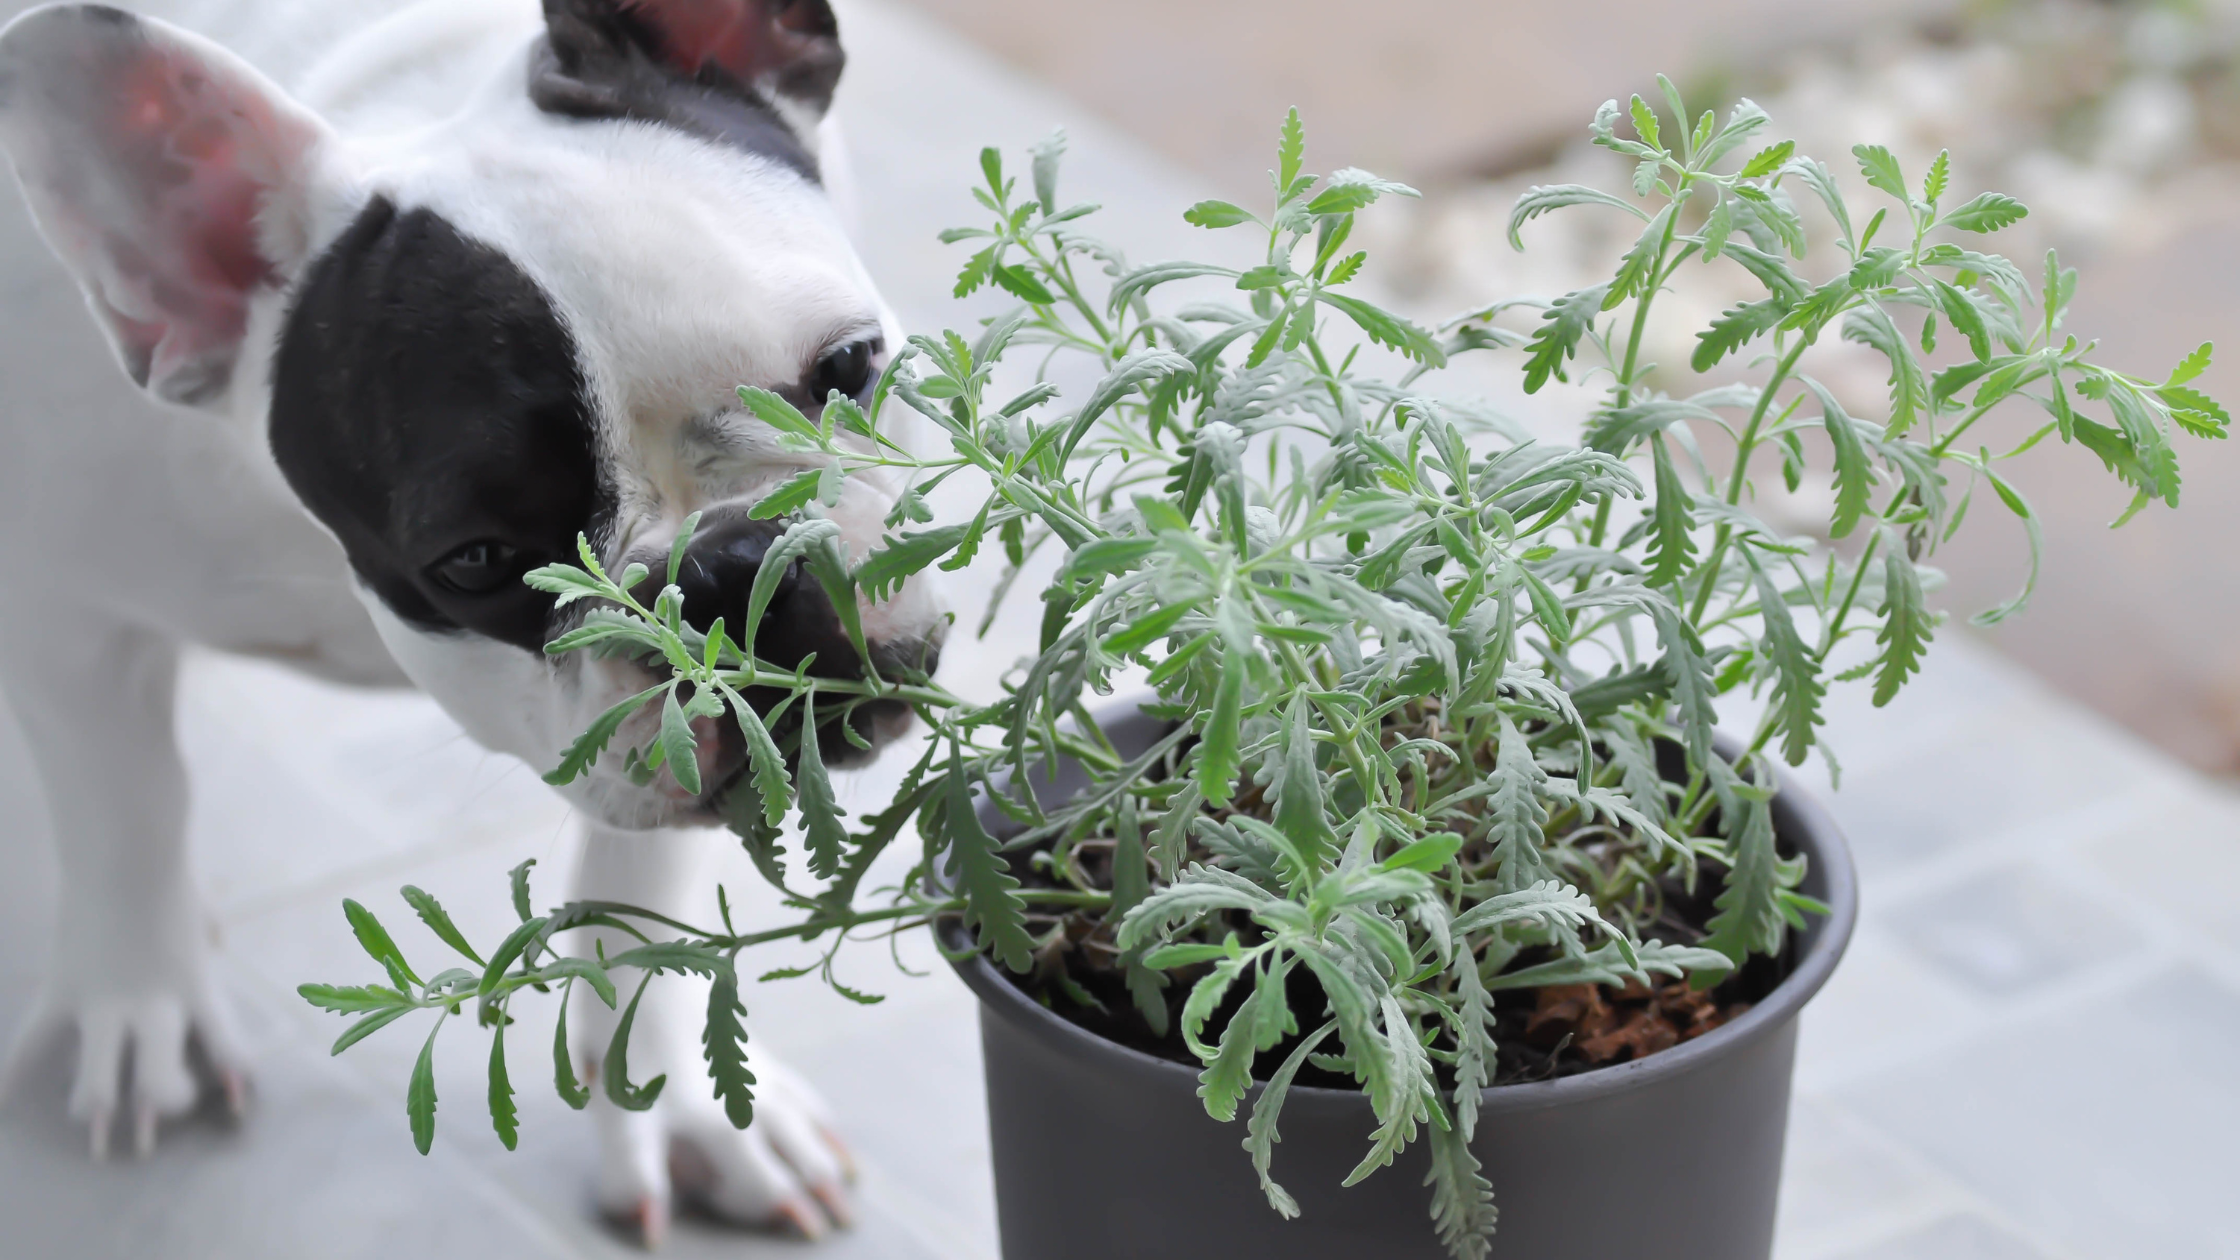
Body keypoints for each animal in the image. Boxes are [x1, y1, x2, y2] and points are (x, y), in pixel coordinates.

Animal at [0, 0, 936, 1237]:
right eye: (479, 560)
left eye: (847, 367)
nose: (727, 574)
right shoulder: (62, 611)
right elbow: (129, 808)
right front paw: (143, 1002)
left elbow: (642, 894)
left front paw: (672, 1103)